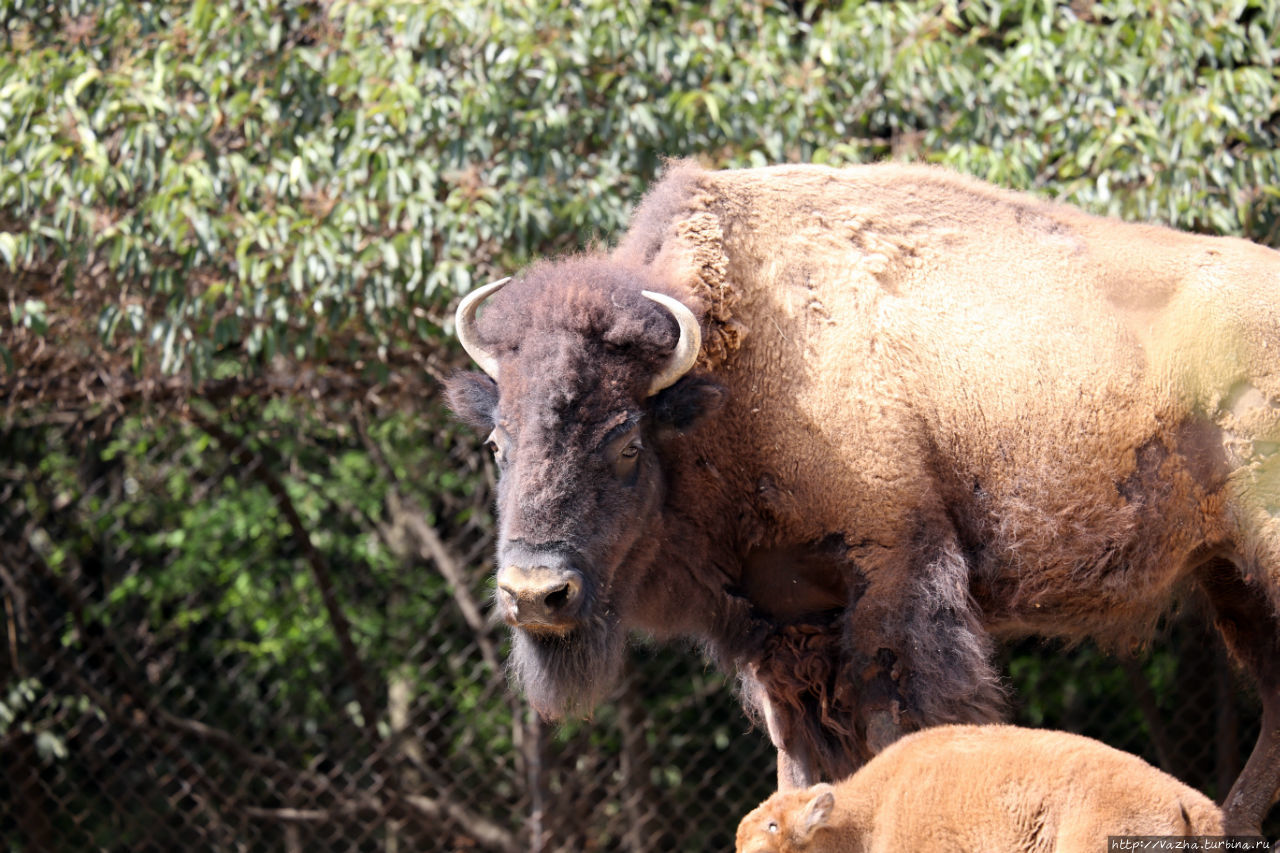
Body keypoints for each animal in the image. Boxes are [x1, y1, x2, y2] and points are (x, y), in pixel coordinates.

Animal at [442, 161, 1280, 829]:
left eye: (623, 443)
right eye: (498, 444)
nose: (536, 592)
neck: (738, 369)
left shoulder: (897, 584)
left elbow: (905, 733)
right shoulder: (784, 626)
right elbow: (801, 757)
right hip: (1229, 575)